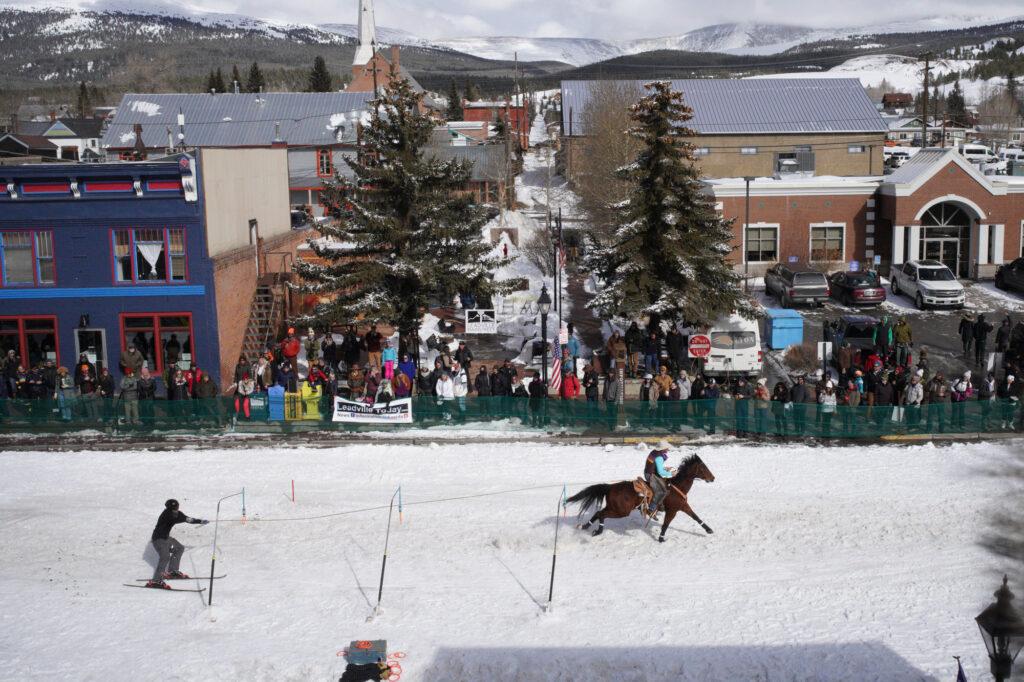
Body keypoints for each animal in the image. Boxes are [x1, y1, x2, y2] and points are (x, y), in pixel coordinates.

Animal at [565, 450, 716, 540]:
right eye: (703, 467)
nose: (713, 478)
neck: (677, 486)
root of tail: (610, 487)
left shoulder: (683, 506)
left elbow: (696, 517)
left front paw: (709, 530)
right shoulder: (672, 510)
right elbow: (666, 524)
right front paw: (661, 538)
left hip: (615, 508)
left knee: (598, 513)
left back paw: (586, 527)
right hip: (621, 511)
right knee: (601, 514)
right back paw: (597, 531)